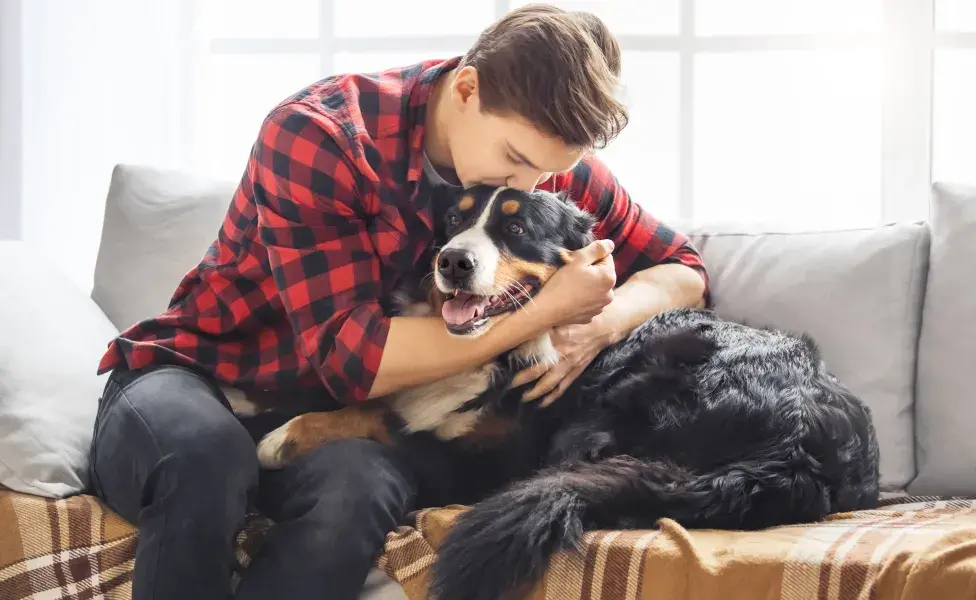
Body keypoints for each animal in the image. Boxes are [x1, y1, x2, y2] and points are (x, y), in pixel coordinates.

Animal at [248, 185, 880, 600]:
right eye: (451, 221)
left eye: (516, 229)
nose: (453, 261)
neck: (496, 350)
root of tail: (795, 453)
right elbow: (373, 398)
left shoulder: (493, 461)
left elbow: (392, 423)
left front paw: (282, 436)